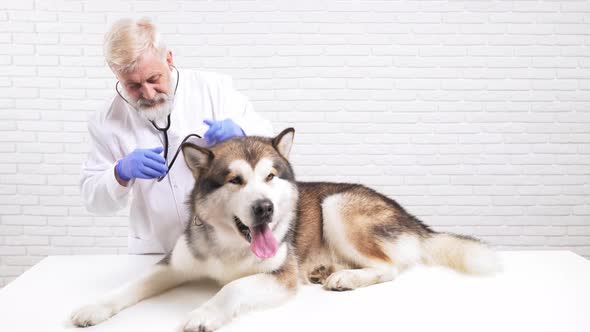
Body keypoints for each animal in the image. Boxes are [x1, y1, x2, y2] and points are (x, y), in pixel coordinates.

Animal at [71, 128, 502, 330]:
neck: (230, 246)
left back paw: (344, 277)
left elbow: (231, 288)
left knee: (390, 267)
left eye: (270, 176)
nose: (265, 207)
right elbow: (129, 286)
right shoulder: (173, 265)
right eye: (235, 180)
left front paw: (204, 314)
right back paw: (326, 269)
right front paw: (94, 307)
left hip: (336, 204)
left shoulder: (281, 274)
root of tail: (410, 217)